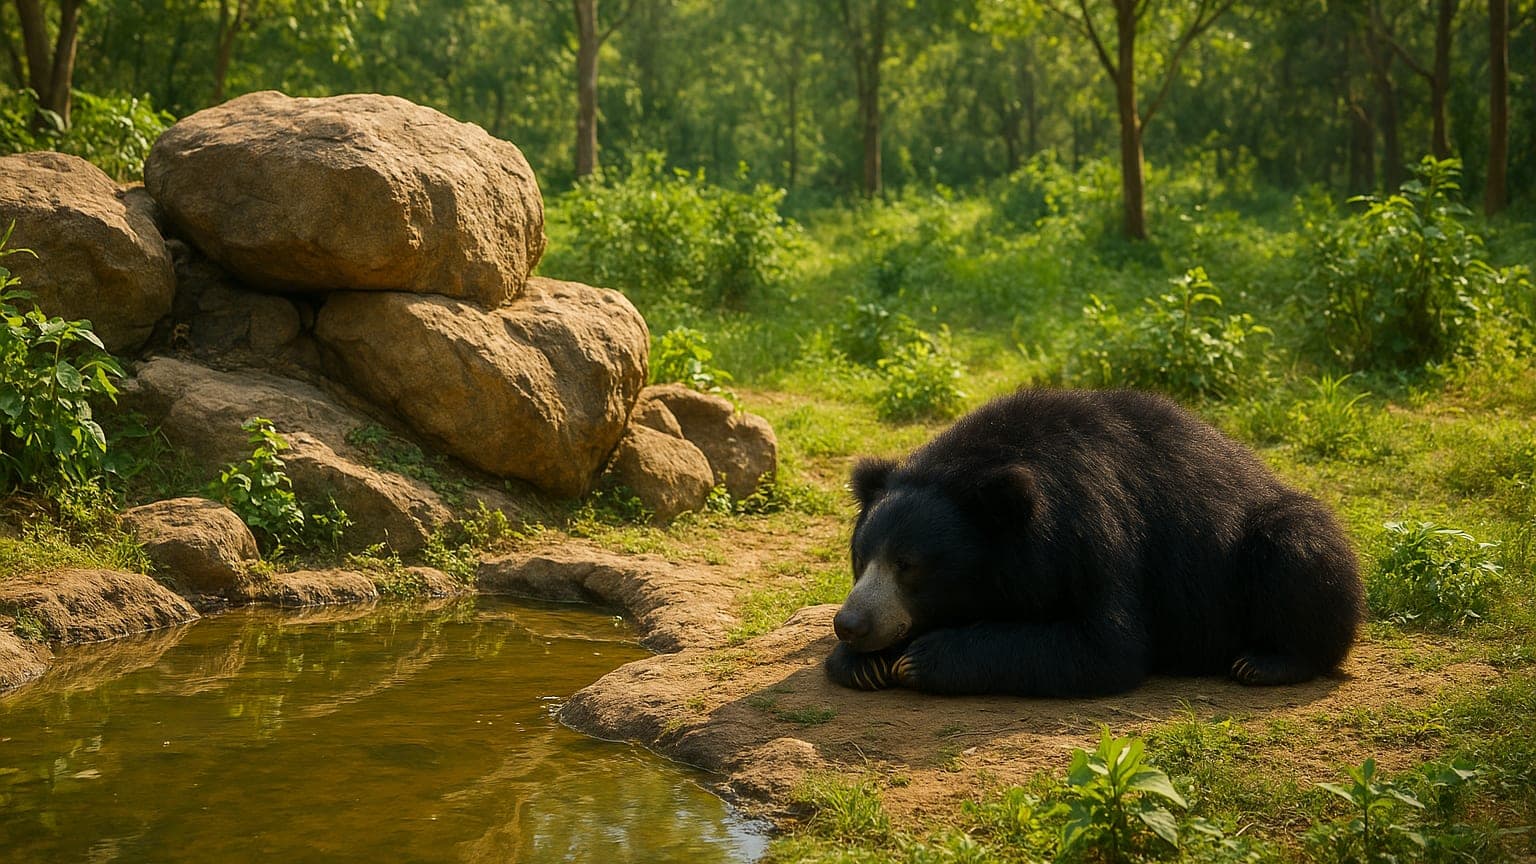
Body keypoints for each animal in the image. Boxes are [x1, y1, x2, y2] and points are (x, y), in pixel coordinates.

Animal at [825, 388, 1364, 697]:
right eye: (861, 558)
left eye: (908, 564)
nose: (850, 624)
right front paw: (862, 665)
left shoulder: (1091, 529)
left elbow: (1105, 644)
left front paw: (920, 658)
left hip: (1270, 542)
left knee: (1297, 553)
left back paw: (1263, 663)